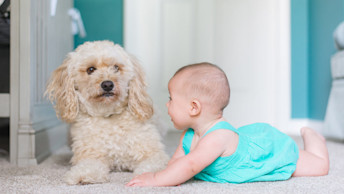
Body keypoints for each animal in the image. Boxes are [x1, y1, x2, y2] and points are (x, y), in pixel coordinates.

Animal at [45, 40, 169, 185]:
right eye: (90, 69)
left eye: (116, 67)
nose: (108, 84)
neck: (108, 115)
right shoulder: (91, 155)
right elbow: (88, 165)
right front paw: (83, 175)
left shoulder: (154, 153)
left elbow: (152, 165)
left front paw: (149, 176)